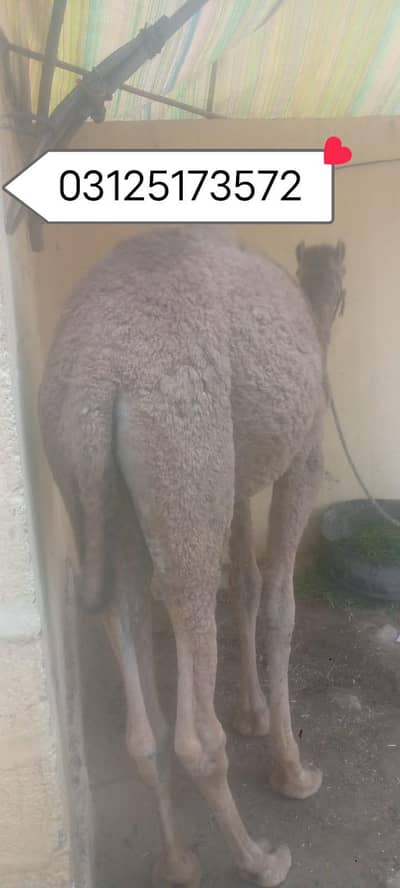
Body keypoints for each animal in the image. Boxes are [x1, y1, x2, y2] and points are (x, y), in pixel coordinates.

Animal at [38, 224, 346, 887]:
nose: (337, 299)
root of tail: (101, 378)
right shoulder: (305, 451)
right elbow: (279, 604)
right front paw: (293, 771)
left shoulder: (238, 479)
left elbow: (248, 585)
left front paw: (254, 713)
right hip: (185, 461)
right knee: (195, 727)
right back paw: (260, 858)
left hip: (96, 490)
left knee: (143, 713)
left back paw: (178, 862)